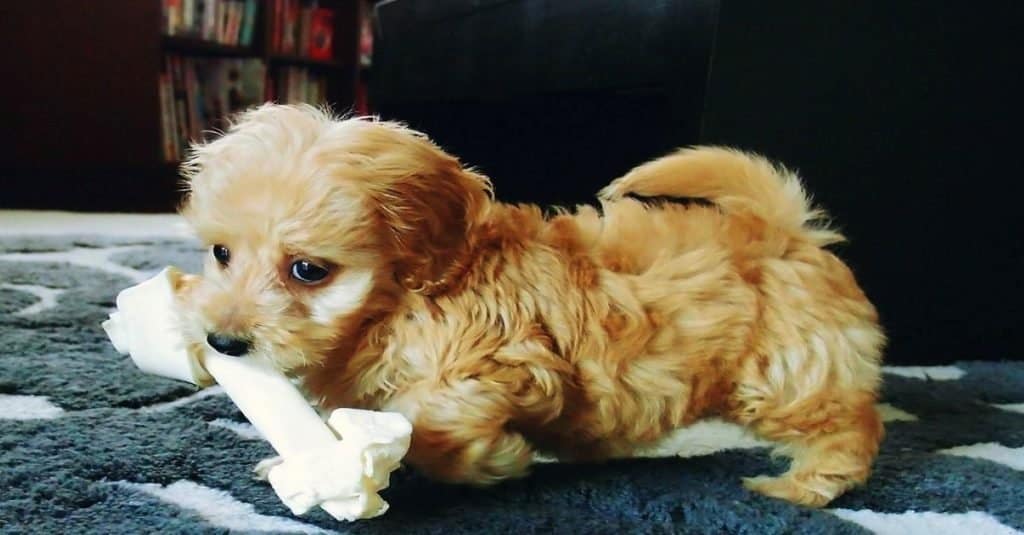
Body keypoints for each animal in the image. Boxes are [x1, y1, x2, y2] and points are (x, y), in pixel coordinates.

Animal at [176, 103, 880, 504]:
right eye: (221, 254)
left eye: (307, 270)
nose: (223, 342)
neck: (401, 300)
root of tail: (787, 229)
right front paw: (301, 457)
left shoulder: (501, 364)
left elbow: (426, 420)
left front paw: (498, 461)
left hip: (784, 374)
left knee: (847, 426)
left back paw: (800, 487)